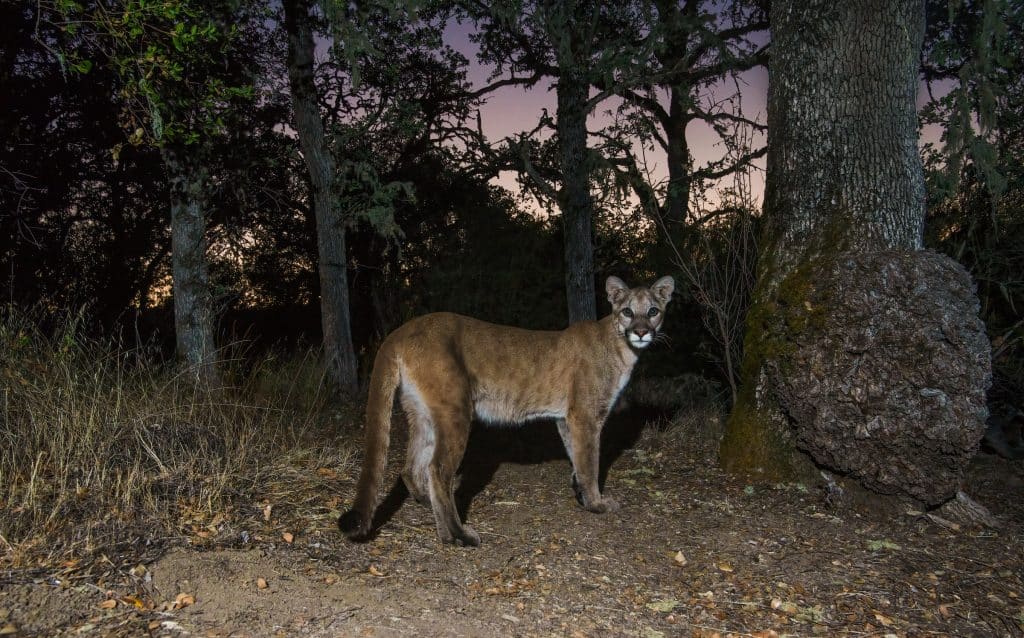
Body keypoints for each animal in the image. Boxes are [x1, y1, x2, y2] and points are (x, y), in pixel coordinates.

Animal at [339, 272, 675, 544]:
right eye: (628, 311)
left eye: (653, 311)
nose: (641, 332)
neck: (619, 345)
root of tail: (401, 330)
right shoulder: (586, 415)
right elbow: (590, 463)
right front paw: (596, 503)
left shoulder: (566, 419)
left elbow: (576, 458)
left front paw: (580, 493)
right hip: (456, 408)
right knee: (438, 470)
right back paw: (460, 535)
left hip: (422, 413)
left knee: (412, 467)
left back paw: (435, 519)